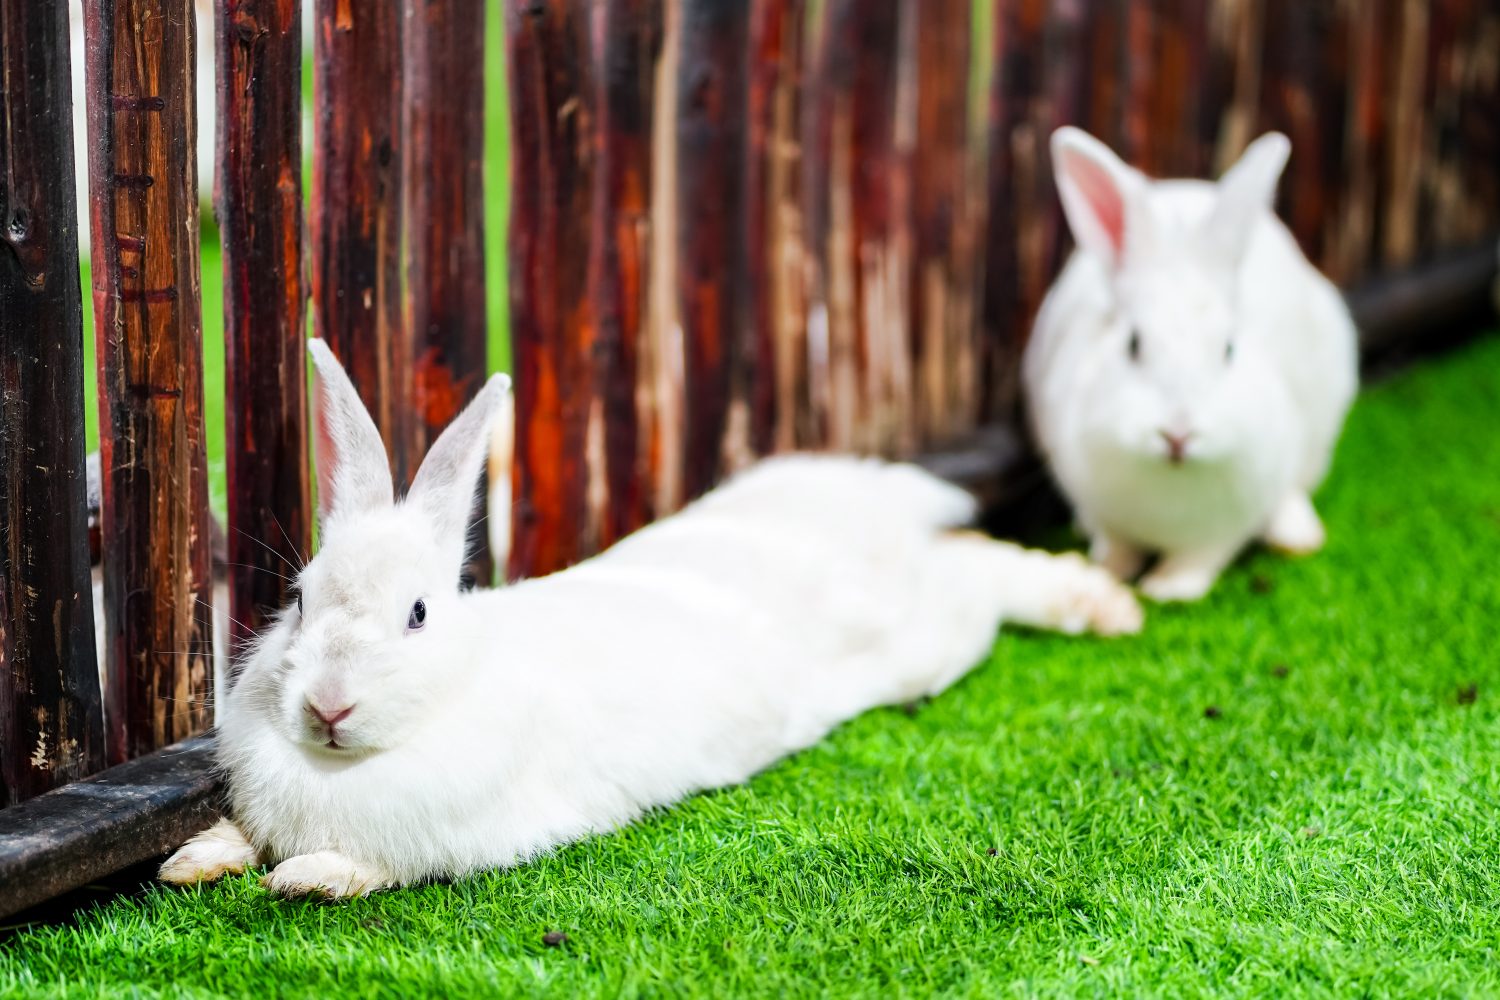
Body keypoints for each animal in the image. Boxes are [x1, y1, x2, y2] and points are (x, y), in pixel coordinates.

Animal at [161, 335, 1134, 899]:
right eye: (298, 600)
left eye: (418, 616)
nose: (327, 707)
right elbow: (237, 835)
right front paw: (192, 860)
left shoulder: (453, 838)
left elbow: (364, 867)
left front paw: (302, 878)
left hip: (934, 635)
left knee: (983, 568)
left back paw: (1103, 607)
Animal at [1020, 125, 1362, 602]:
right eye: (1133, 344)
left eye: (1228, 350)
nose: (1177, 435)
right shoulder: (1095, 498)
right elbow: (1116, 543)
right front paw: (1108, 571)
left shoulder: (1226, 527)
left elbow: (1200, 558)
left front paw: (1167, 588)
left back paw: (1296, 534)